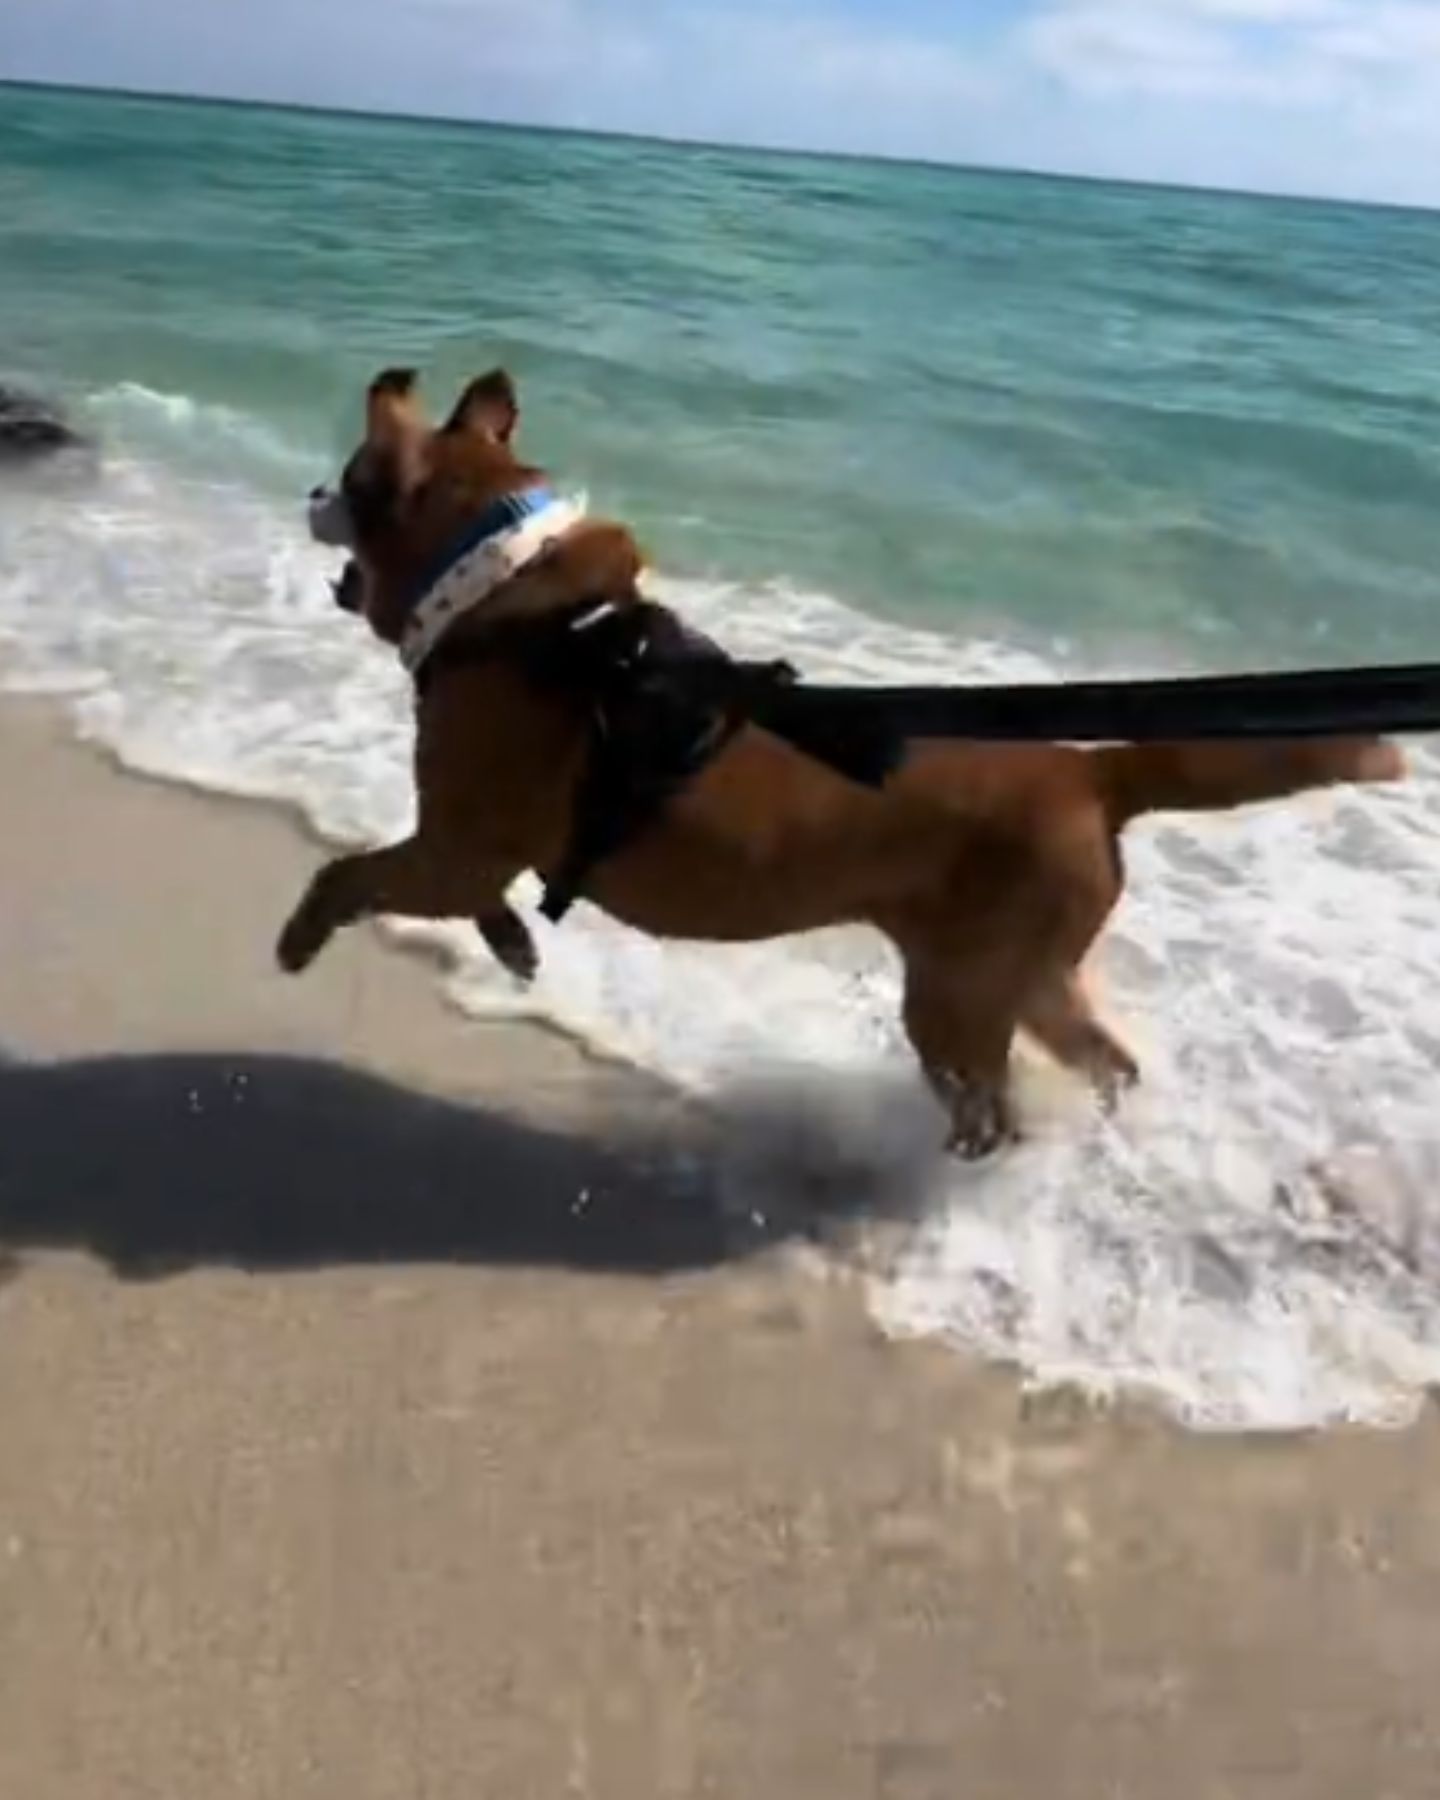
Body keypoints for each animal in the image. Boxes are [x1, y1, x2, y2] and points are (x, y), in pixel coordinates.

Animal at [284, 367, 1404, 1152]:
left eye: (353, 476)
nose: (309, 490)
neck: (507, 598)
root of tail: (1089, 770)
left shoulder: (455, 846)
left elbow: (347, 873)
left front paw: (298, 940)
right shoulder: (466, 851)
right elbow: (467, 895)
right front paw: (513, 943)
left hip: (958, 999)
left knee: (991, 1106)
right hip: (1031, 979)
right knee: (1102, 1061)